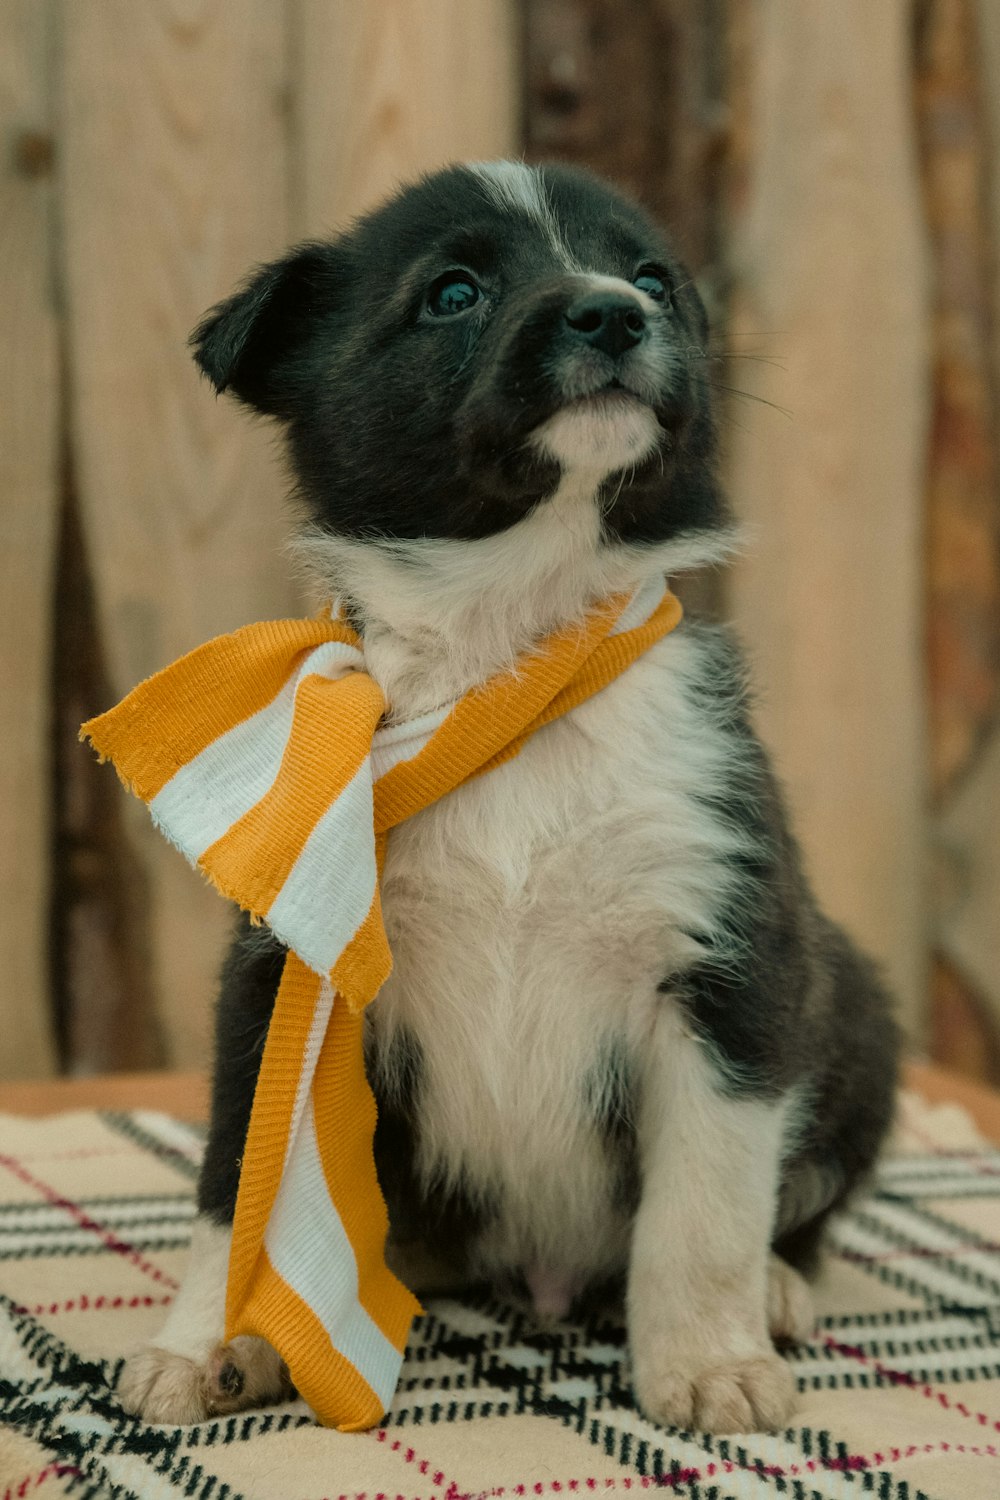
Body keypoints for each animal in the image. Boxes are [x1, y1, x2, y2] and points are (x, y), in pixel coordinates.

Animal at [119, 158, 899, 1434]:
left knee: (798, 1204)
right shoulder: (283, 972)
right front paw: (213, 1339)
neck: (509, 665)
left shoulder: (729, 966)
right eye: (453, 292)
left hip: (859, 1015)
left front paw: (707, 1361)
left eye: (650, 278)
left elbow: (705, 1208)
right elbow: (238, 1178)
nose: (612, 315)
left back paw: (780, 1289)